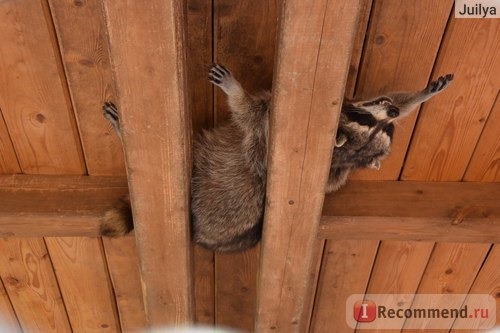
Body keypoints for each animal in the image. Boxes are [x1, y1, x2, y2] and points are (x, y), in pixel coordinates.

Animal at [100, 63, 454, 250]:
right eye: (371, 122)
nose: (391, 113)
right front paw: (421, 96)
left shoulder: (267, 130)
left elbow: (248, 113)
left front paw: (236, 91)